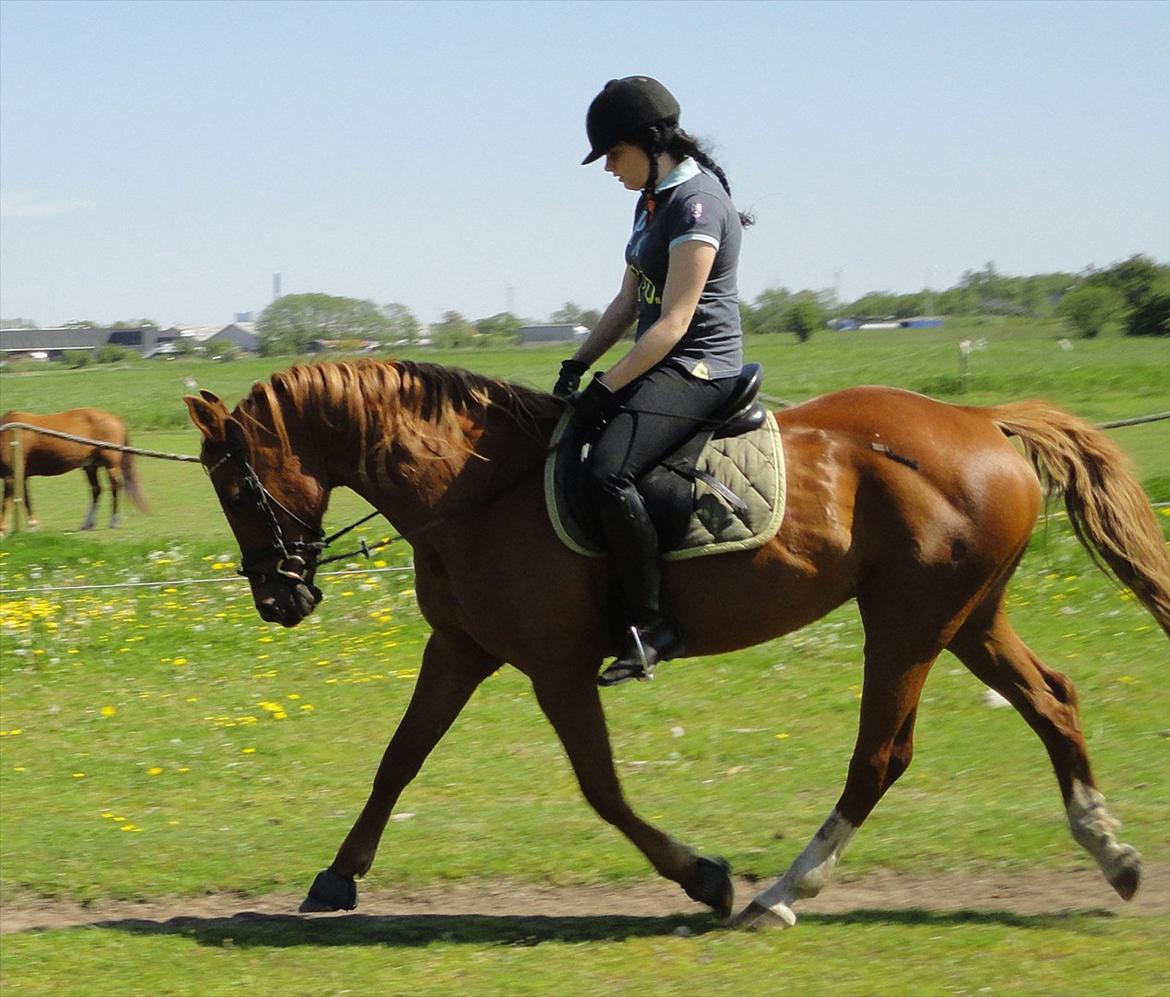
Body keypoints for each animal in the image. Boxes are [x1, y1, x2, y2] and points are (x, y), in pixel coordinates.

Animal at [0, 409, 150, 540]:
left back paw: (114, 521)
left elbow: (6, 503)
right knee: (96, 490)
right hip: (91, 467)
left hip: (110, 466)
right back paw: (88, 523)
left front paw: (2, 531)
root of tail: (115, 418)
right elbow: (27, 499)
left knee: (115, 488)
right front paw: (33, 526)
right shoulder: (22, 477)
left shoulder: (10, 477)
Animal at [187, 362, 1165, 931]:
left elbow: (601, 787)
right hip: (967, 616)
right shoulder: (460, 648)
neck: (475, 487)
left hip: (909, 621)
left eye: (236, 487)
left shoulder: (556, 666)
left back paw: (779, 894)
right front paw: (336, 879)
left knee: (882, 753)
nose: (279, 598)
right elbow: (399, 758)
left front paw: (705, 876)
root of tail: (984, 419)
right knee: (1053, 698)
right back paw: (1114, 856)